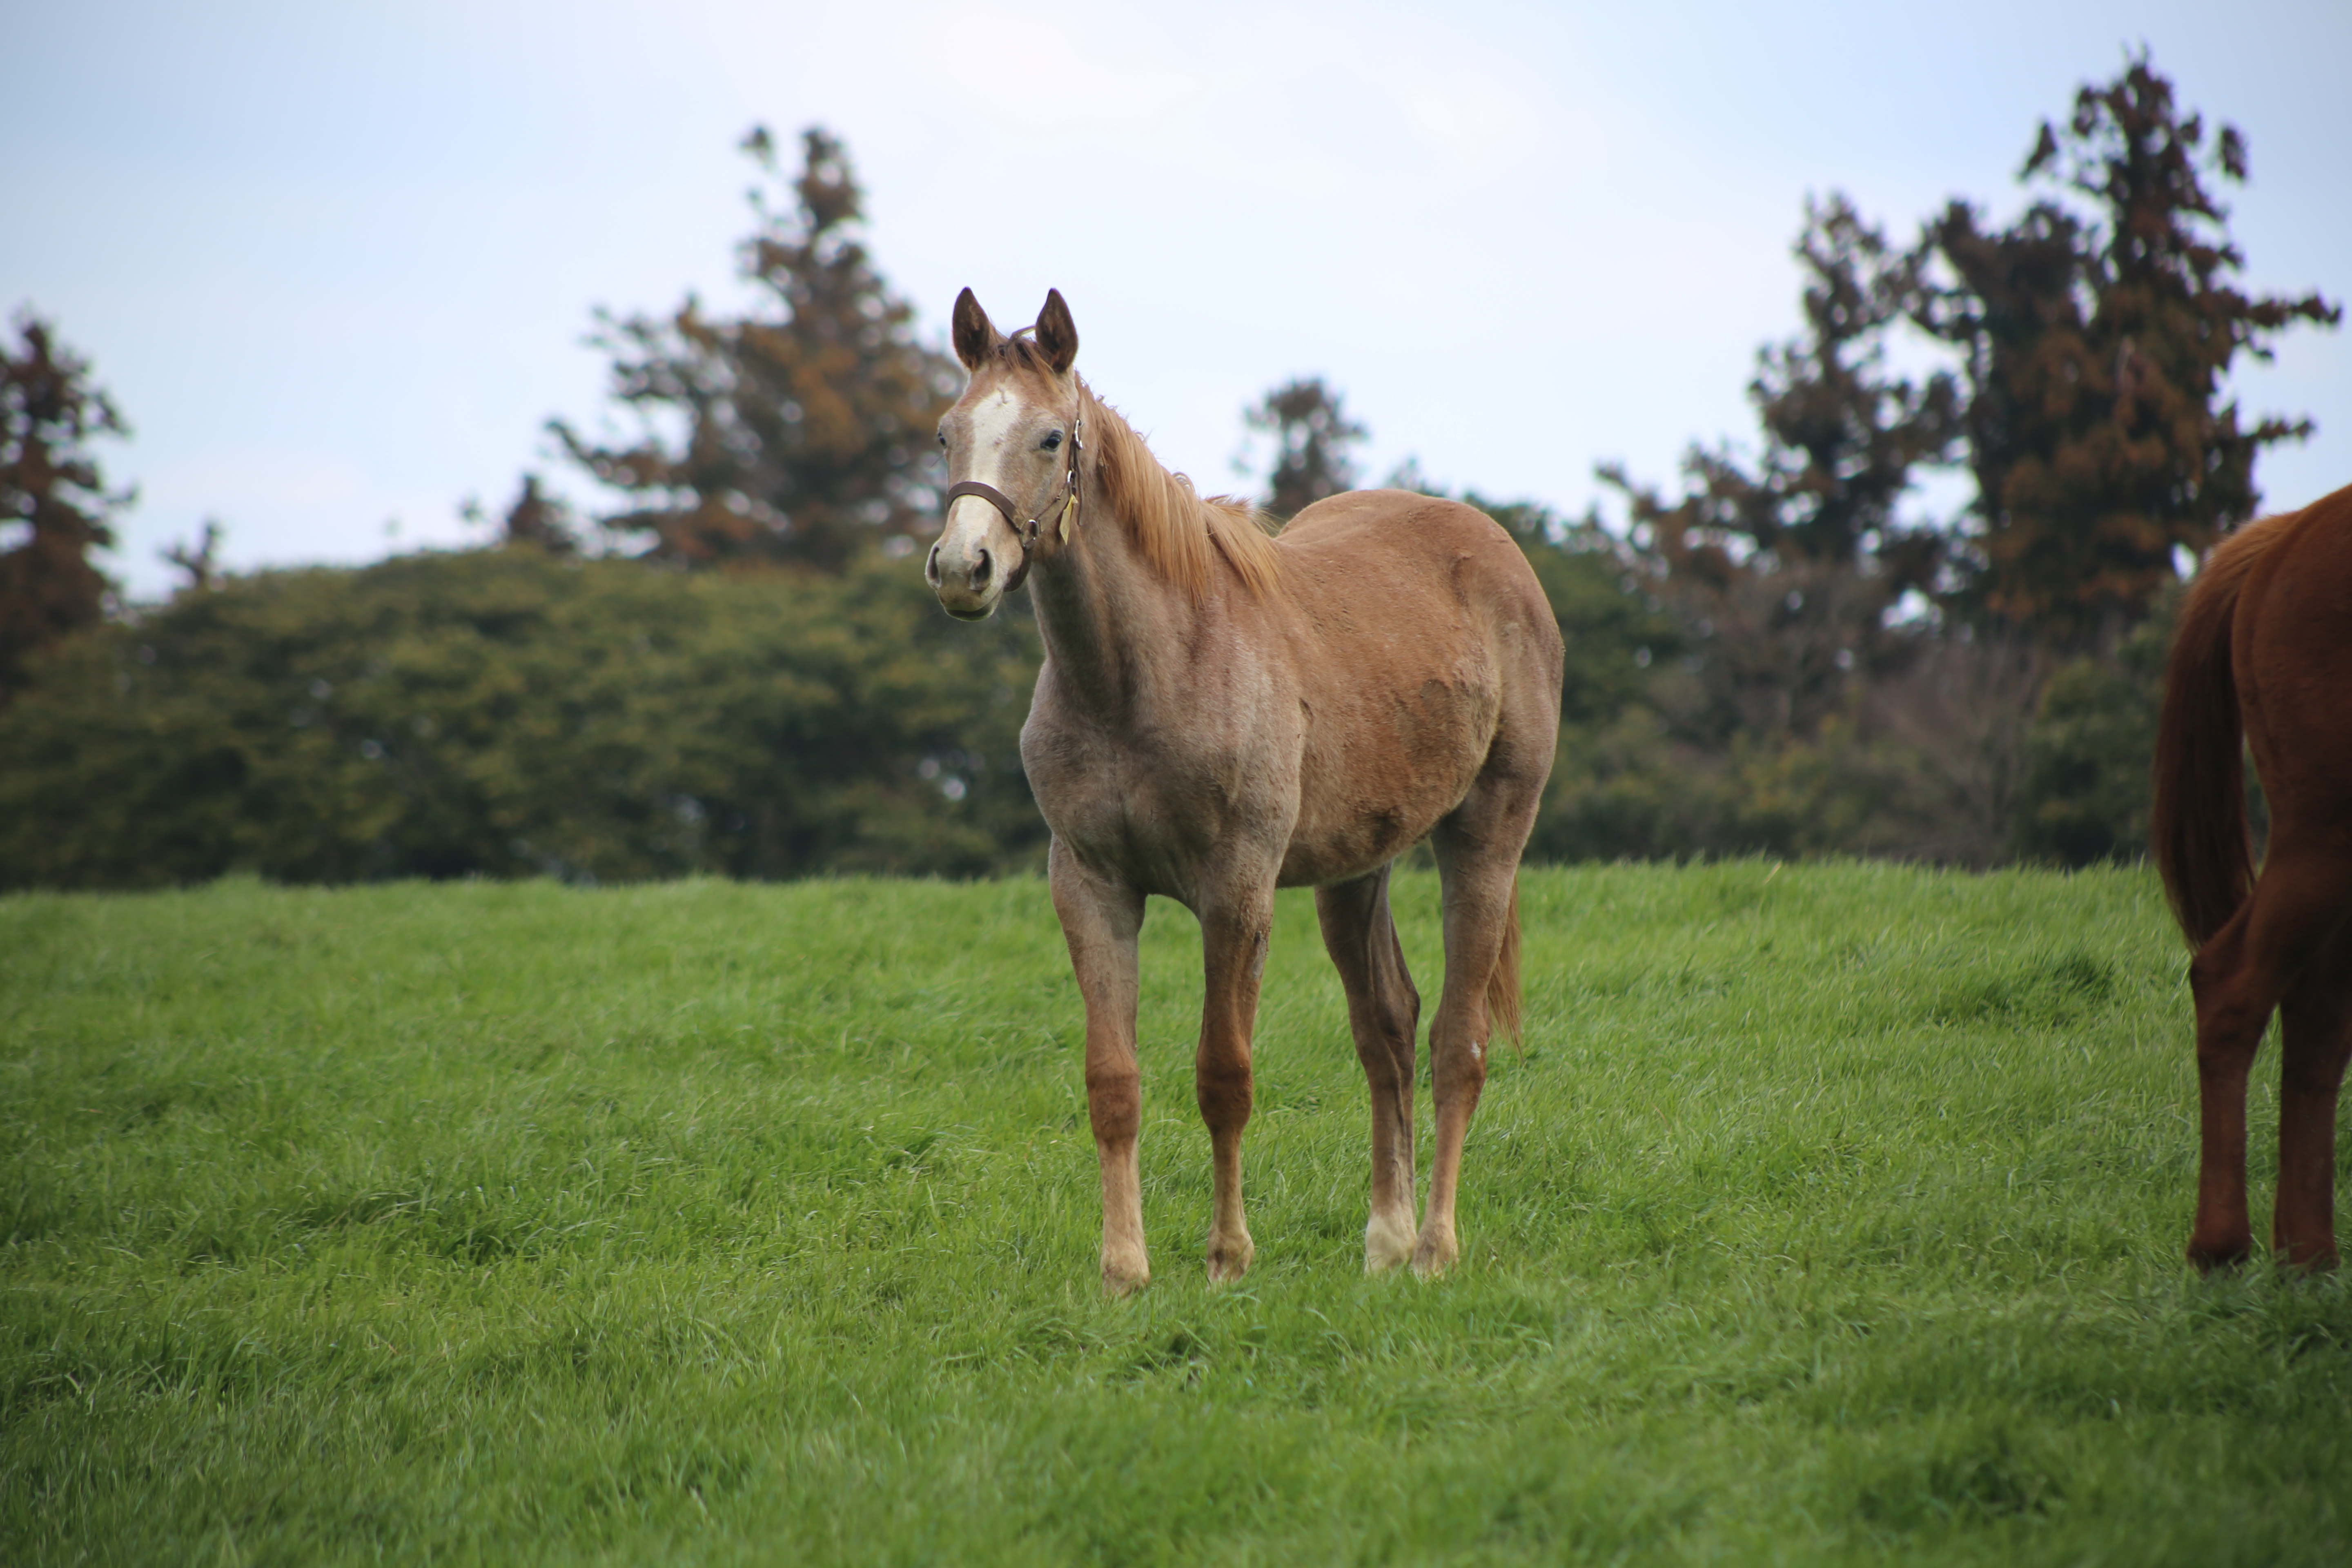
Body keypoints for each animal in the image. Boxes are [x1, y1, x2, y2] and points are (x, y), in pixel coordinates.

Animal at [922, 288, 1561, 1297]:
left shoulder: (1237, 893)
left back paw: (1433, 1249)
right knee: (1387, 1031)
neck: (1144, 676)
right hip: (1356, 872)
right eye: (947, 434)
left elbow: (1224, 1077)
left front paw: (1228, 1256)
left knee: (1457, 1044)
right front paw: (1124, 1270)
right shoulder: (1091, 888)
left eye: (1050, 439)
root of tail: (1496, 551)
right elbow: (1113, 1083)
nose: (962, 569)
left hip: (1488, 837)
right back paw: (1384, 1241)